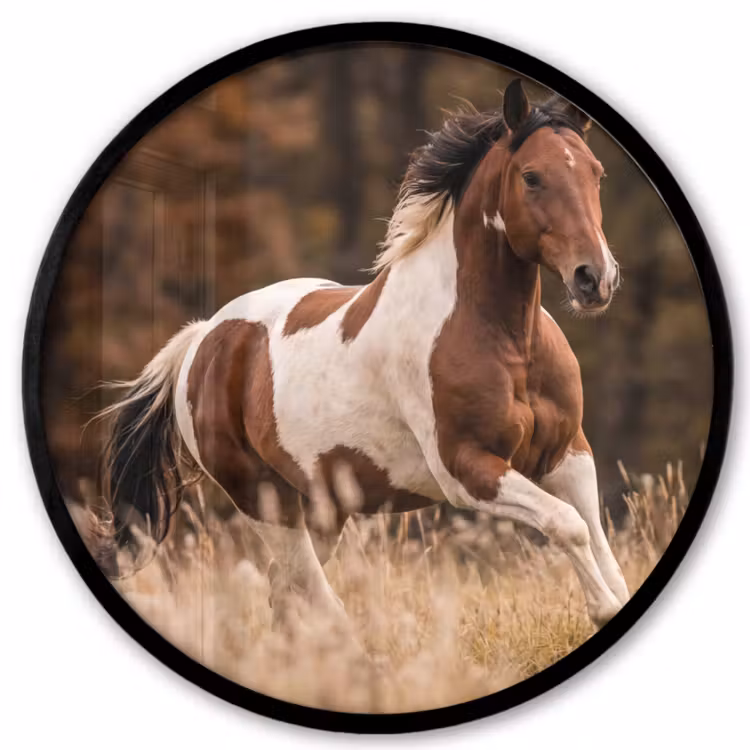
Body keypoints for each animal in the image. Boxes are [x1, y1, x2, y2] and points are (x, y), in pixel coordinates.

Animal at [101, 79, 629, 632]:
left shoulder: (568, 454)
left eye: (596, 172)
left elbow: (596, 537)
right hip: (263, 499)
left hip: (323, 508)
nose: (594, 278)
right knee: (309, 592)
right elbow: (568, 524)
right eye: (532, 176)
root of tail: (203, 338)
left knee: (285, 591)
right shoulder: (467, 470)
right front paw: (602, 609)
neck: (508, 343)